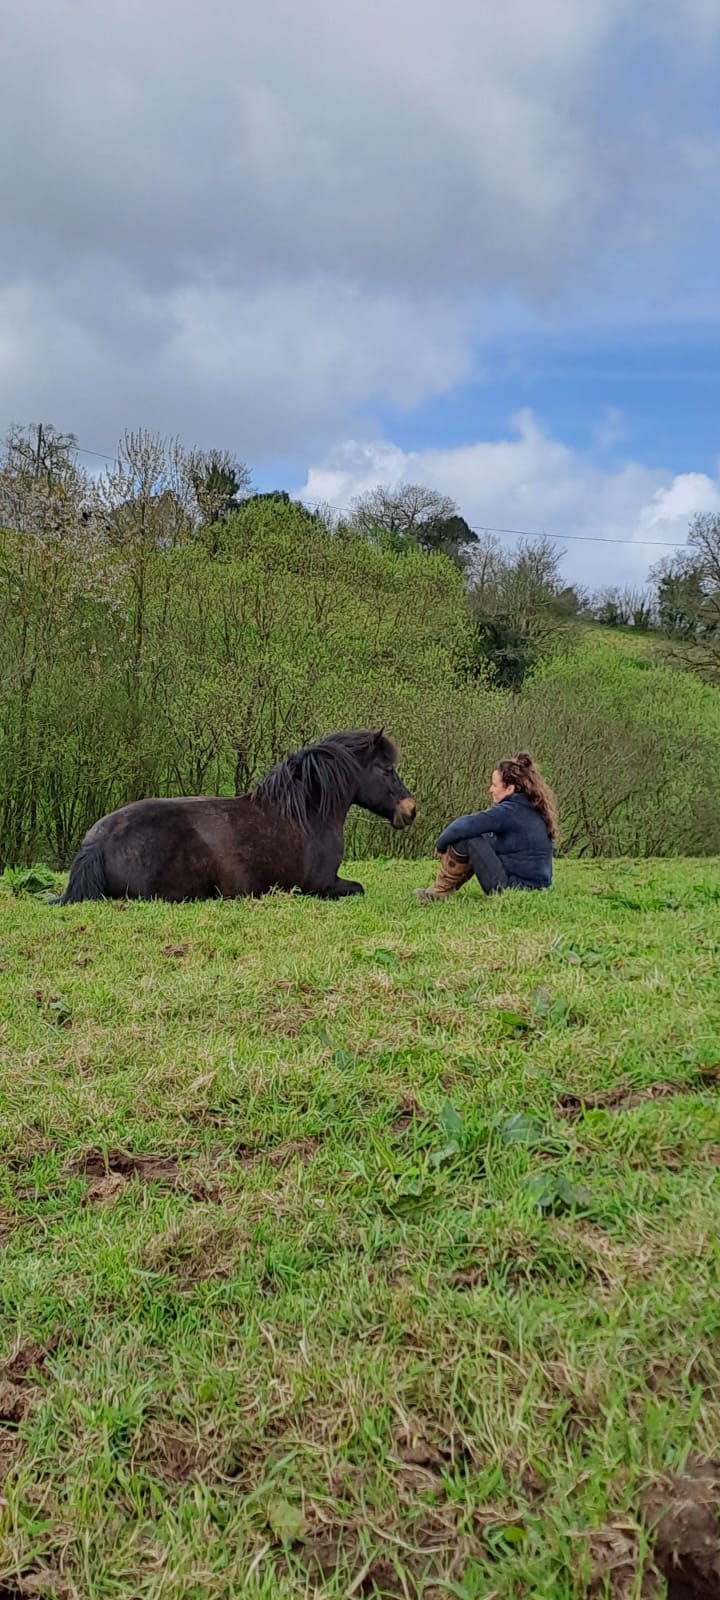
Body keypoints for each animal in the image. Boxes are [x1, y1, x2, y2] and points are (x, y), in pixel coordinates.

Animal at [57, 732, 416, 908]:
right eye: (386, 769)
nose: (410, 809)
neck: (308, 813)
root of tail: (99, 841)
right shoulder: (321, 885)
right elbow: (358, 888)